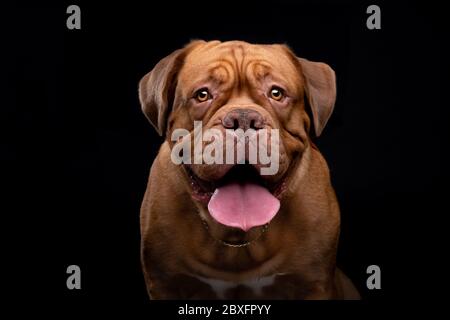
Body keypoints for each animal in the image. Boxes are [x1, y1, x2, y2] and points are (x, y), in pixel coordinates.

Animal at [139, 40, 360, 300]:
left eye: (276, 93)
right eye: (202, 94)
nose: (243, 118)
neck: (237, 239)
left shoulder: (313, 283)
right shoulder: (166, 283)